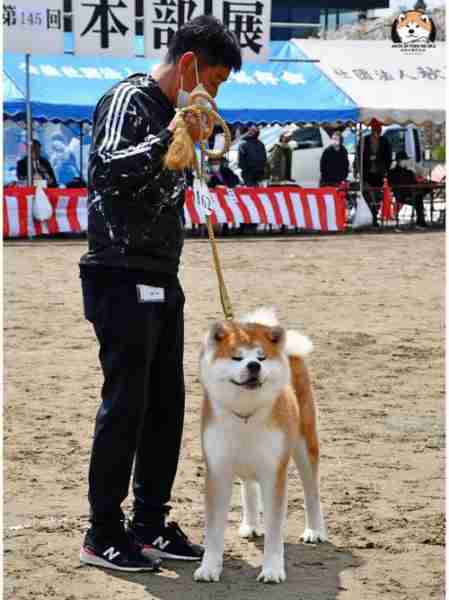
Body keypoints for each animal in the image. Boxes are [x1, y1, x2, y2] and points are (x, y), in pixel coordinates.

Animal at [192, 312, 326, 584]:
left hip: (304, 447)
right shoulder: (218, 472)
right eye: (237, 357)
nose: (254, 366)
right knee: (249, 488)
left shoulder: (274, 473)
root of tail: (290, 353)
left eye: (261, 357)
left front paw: (272, 570)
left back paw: (315, 530)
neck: (245, 413)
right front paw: (209, 568)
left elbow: (275, 530)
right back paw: (251, 525)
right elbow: (213, 532)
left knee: (312, 493)